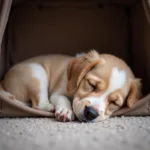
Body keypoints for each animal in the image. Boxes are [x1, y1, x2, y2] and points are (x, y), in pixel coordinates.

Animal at [0, 49, 141, 122]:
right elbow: (63, 99)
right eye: (91, 84)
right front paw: (65, 111)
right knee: (38, 104)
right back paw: (50, 107)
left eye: (115, 102)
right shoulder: (58, 93)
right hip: (37, 72)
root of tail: (3, 81)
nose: (90, 113)